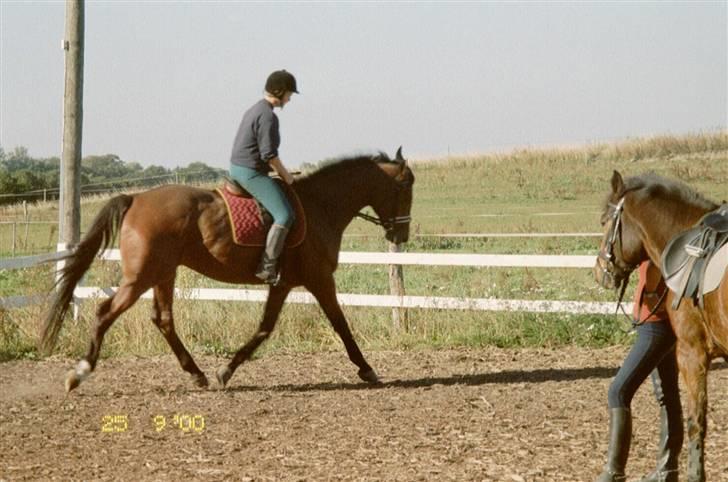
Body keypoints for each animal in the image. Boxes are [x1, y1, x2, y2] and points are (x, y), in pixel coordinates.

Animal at [41, 150, 416, 392]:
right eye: (406, 187)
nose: (401, 235)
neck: (320, 206)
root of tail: (137, 198)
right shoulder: (319, 279)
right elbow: (340, 324)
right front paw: (367, 369)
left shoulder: (283, 284)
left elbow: (265, 327)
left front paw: (226, 370)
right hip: (142, 276)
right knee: (106, 312)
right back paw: (79, 373)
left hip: (163, 273)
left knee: (163, 319)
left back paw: (197, 374)